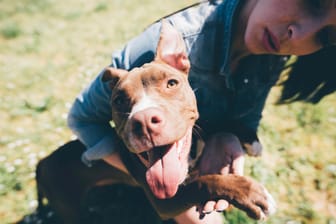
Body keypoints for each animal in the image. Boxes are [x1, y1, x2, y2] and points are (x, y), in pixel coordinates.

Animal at [35, 21, 274, 224]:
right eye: (119, 100)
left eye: (172, 83)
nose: (144, 122)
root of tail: (42, 162)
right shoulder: (166, 201)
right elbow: (204, 182)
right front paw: (249, 193)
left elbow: (214, 122)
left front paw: (249, 137)